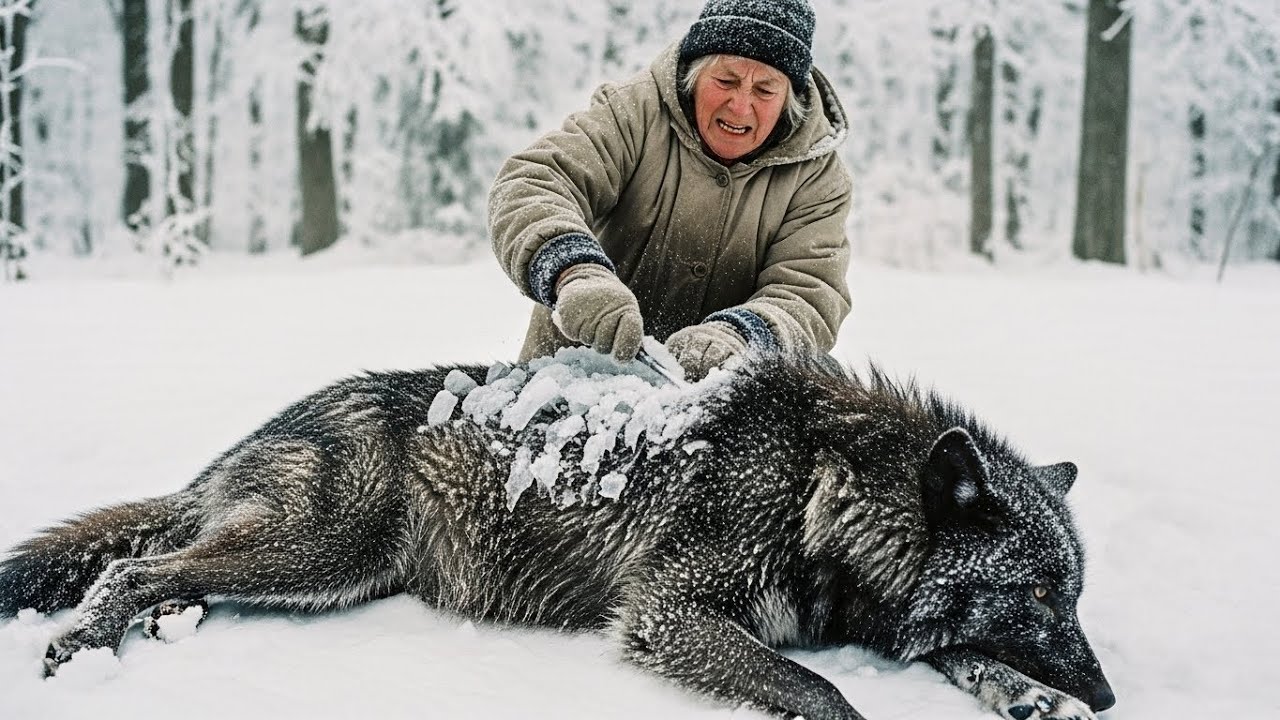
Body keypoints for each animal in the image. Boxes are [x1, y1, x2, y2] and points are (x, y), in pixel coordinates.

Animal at [0, 354, 1114, 720]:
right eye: (1037, 593)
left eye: (1071, 596)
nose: (1108, 694)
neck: (818, 483)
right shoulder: (667, 616)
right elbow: (823, 692)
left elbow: (961, 655)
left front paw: (1031, 698)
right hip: (326, 557)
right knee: (134, 563)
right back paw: (83, 641)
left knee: (164, 568)